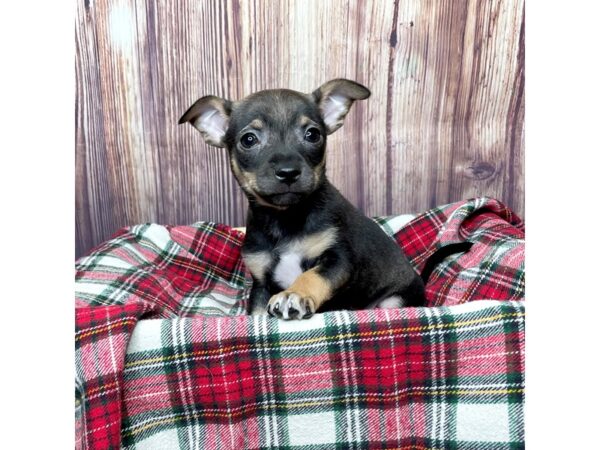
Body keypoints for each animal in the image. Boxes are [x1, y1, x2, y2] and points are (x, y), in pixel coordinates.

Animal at [180, 80, 424, 320]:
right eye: (248, 140)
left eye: (313, 135)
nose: (288, 172)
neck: (285, 218)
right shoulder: (261, 283)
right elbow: (258, 314)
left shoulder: (338, 260)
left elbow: (312, 275)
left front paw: (294, 294)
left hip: (394, 300)